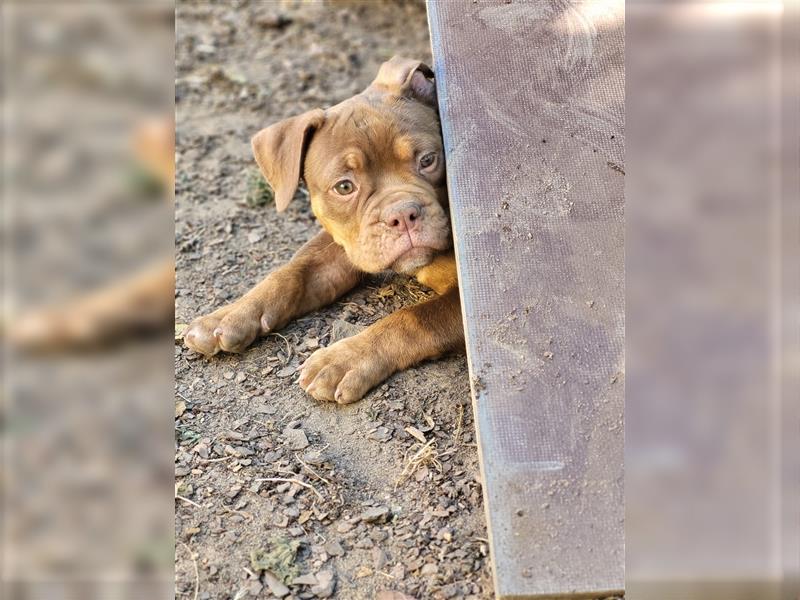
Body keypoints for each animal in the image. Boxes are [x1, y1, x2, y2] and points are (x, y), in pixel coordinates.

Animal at [184, 56, 466, 404]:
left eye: (427, 160)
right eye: (344, 187)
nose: (402, 214)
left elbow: (413, 318)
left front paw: (345, 359)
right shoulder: (344, 248)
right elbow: (293, 272)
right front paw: (227, 316)